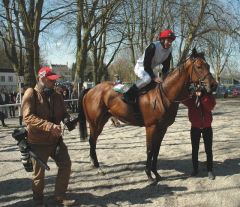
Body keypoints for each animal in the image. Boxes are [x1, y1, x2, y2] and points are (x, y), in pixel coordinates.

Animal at [78, 47, 218, 182]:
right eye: (199, 66)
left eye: (208, 65)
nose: (214, 85)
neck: (165, 95)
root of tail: (90, 89)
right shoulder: (151, 127)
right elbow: (150, 149)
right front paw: (149, 174)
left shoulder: (162, 128)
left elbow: (156, 150)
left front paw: (156, 173)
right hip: (94, 123)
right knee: (92, 141)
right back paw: (97, 166)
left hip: (102, 121)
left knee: (93, 141)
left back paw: (94, 163)